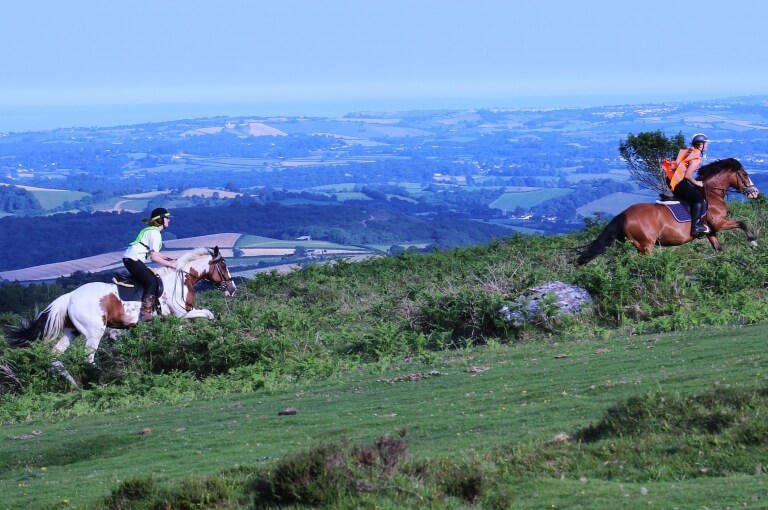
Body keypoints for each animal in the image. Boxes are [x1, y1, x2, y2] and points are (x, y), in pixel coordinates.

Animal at [4, 245, 236, 372]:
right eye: (224, 266)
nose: (232, 289)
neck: (181, 279)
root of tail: (70, 296)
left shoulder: (176, 318)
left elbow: (181, 336)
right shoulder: (183, 313)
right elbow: (209, 314)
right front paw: (217, 338)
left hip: (72, 332)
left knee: (56, 354)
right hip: (94, 332)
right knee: (89, 358)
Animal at [576, 157, 760, 264]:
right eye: (744, 174)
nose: (755, 192)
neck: (712, 193)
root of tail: (624, 214)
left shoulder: (711, 232)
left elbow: (719, 249)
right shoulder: (720, 224)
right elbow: (742, 223)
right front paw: (753, 242)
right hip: (646, 246)